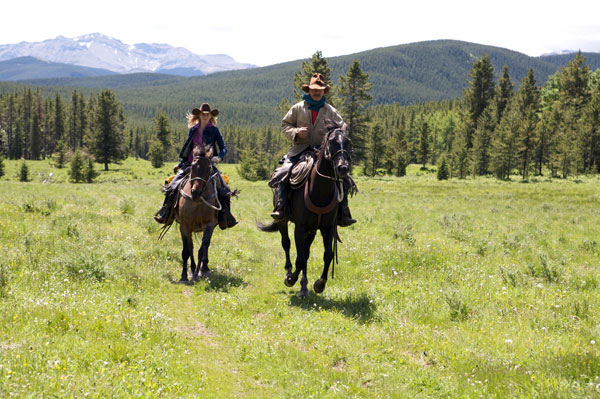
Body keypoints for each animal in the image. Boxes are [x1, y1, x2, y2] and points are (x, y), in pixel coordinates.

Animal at [176, 148, 223, 282]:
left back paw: (203, 267)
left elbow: (203, 247)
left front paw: (199, 272)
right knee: (190, 246)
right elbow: (187, 249)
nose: (196, 192)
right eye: (192, 166)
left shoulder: (209, 224)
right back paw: (192, 268)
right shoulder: (184, 226)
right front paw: (184, 275)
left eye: (209, 168)